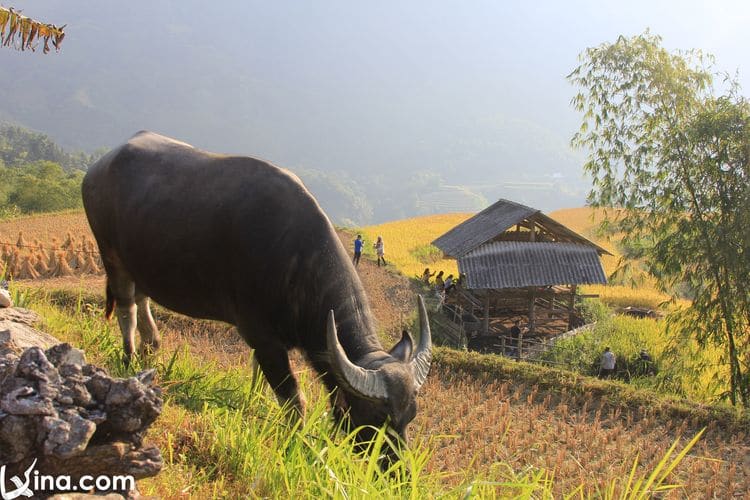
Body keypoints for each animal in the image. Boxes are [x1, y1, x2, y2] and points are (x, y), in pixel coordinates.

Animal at [81, 131, 434, 448]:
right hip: (110, 255)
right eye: (377, 419)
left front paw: (253, 405)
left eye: (411, 416)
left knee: (142, 300)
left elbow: (258, 377)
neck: (296, 261)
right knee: (126, 307)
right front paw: (294, 442)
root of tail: (100, 165)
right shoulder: (264, 339)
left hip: (140, 262)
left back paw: (151, 349)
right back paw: (129, 358)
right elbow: (293, 399)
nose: (396, 471)